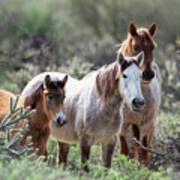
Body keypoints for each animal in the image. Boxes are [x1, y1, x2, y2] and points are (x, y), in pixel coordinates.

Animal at [117, 22, 161, 165]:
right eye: (136, 47)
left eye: (153, 47)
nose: (148, 74)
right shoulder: (123, 125)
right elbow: (125, 151)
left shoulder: (146, 123)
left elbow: (144, 150)